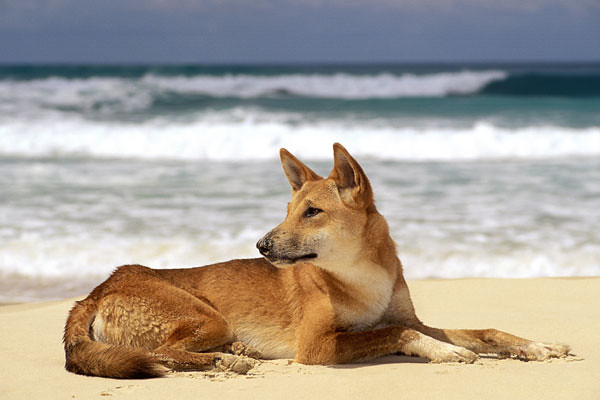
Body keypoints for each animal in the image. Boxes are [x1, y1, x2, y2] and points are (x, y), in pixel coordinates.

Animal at [63, 143, 568, 378]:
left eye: (311, 212)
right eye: (289, 210)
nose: (262, 245)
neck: (362, 278)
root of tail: (98, 289)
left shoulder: (412, 318)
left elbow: (483, 331)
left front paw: (535, 345)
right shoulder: (316, 346)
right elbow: (396, 333)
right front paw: (445, 352)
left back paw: (239, 352)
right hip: (207, 317)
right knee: (160, 353)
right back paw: (227, 361)